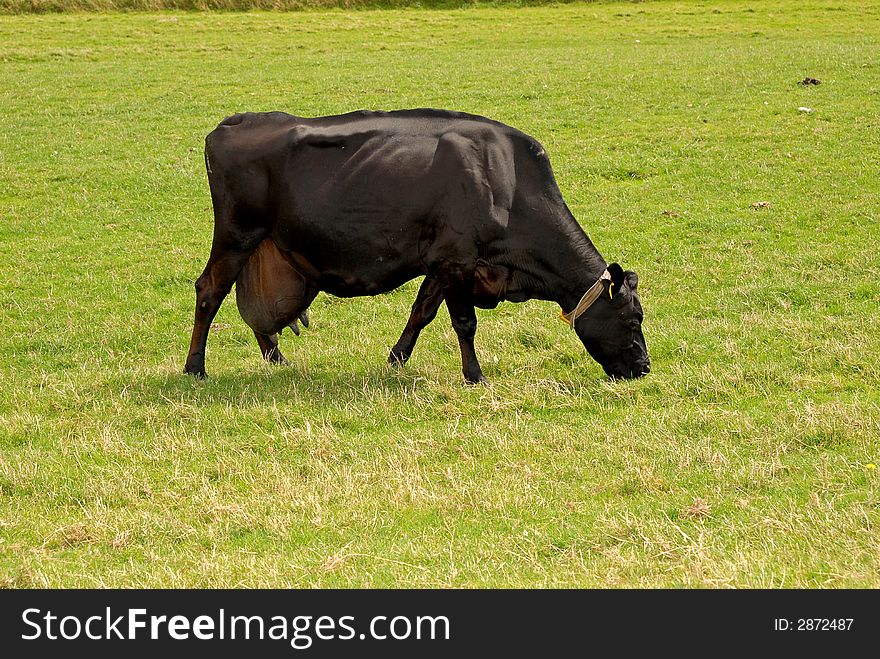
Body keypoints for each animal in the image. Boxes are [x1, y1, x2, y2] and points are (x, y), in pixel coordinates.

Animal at [186, 111, 648, 384]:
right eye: (632, 319)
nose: (644, 367)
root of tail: (233, 122)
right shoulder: (457, 258)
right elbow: (464, 322)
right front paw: (474, 375)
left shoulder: (442, 261)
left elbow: (422, 312)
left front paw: (396, 358)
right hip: (235, 235)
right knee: (210, 290)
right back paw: (195, 367)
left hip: (261, 245)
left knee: (252, 309)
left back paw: (276, 358)